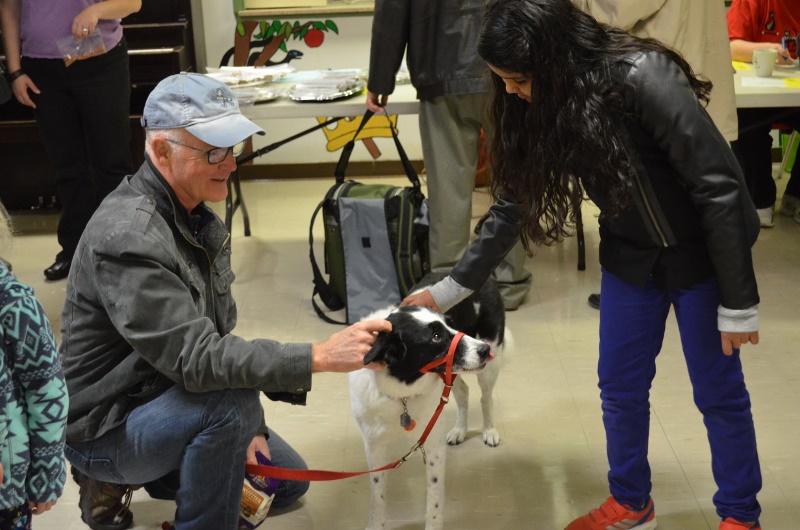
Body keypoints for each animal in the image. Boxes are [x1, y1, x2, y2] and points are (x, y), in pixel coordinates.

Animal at [348, 272, 510, 528]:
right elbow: (377, 497)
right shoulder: (374, 447)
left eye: (451, 325)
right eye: (435, 336)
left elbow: (433, 503)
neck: (400, 393)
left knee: (486, 398)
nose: (484, 350)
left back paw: (489, 430)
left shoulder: (433, 445)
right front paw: (376, 524)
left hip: (488, 367)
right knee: (464, 392)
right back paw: (460, 430)